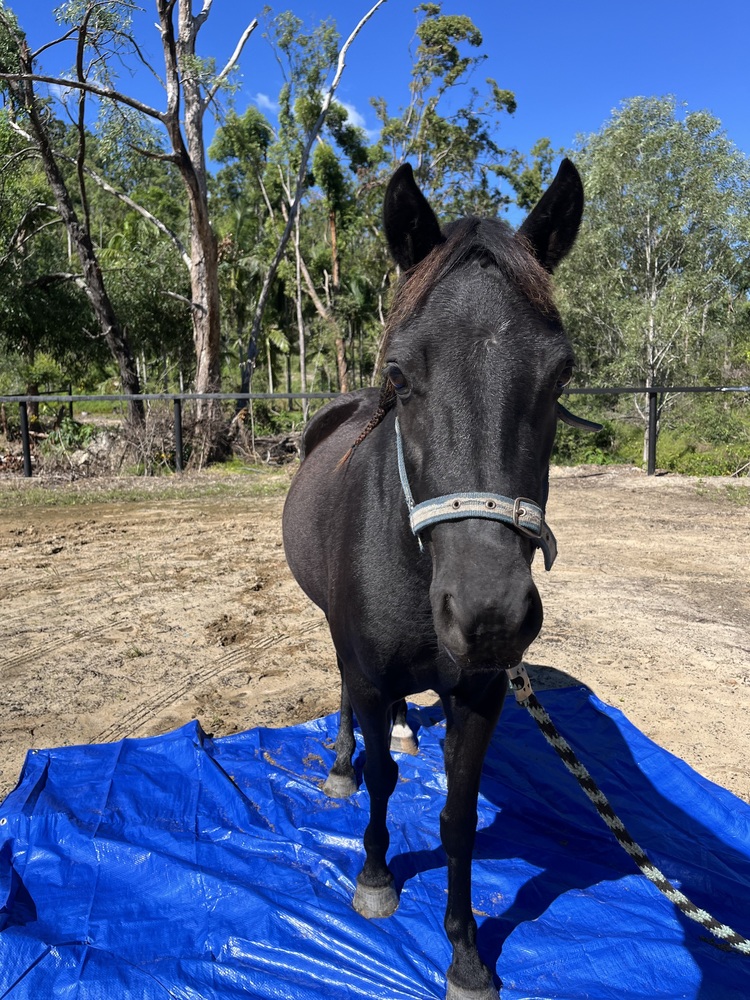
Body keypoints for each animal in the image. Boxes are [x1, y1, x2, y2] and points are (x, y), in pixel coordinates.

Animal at [282, 159, 586, 999]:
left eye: (560, 376)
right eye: (401, 374)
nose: (490, 617)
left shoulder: (481, 693)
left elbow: (458, 819)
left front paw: (466, 955)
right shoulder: (366, 662)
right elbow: (385, 781)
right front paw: (376, 876)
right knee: (348, 702)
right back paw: (342, 764)